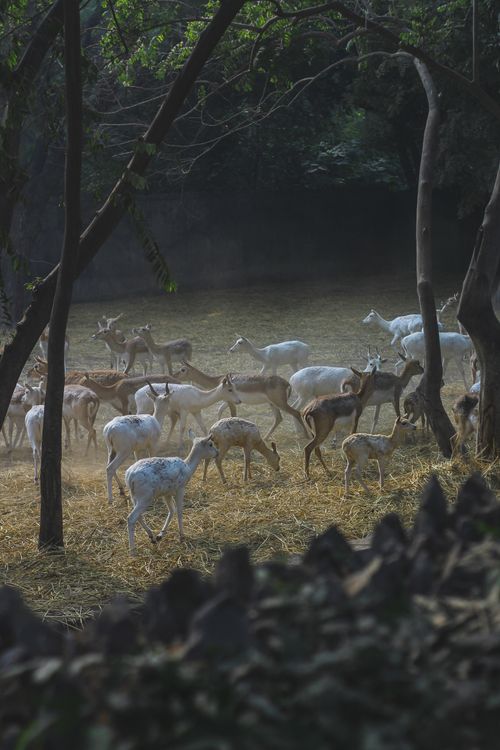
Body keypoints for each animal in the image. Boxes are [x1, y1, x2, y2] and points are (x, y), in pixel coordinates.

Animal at [172, 361, 307, 438]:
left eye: (182, 369)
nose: (173, 375)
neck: (218, 380)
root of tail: (287, 383)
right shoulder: (228, 401)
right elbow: (220, 411)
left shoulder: (232, 402)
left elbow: (233, 415)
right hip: (272, 404)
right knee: (279, 418)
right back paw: (265, 438)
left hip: (280, 403)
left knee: (296, 412)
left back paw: (307, 436)